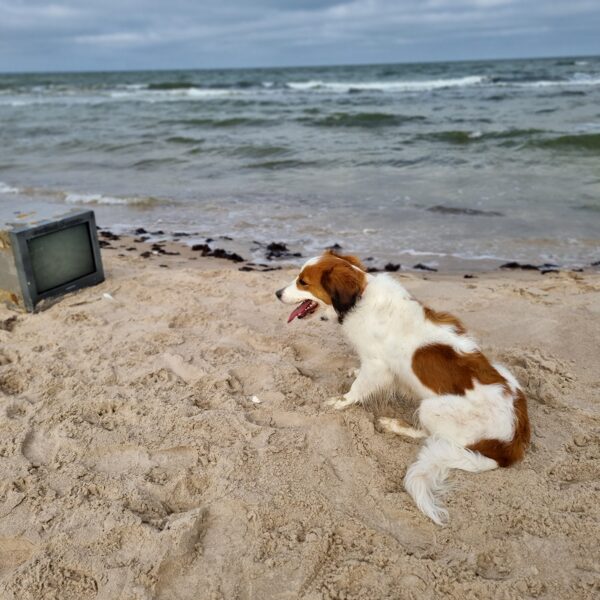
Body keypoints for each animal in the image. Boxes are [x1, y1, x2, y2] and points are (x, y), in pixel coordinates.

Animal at [276, 250, 530, 525]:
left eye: (302, 282)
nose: (277, 293)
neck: (361, 298)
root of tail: (513, 442)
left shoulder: (377, 365)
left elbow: (357, 388)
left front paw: (340, 402)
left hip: (432, 407)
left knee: (428, 435)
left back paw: (394, 425)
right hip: (504, 371)